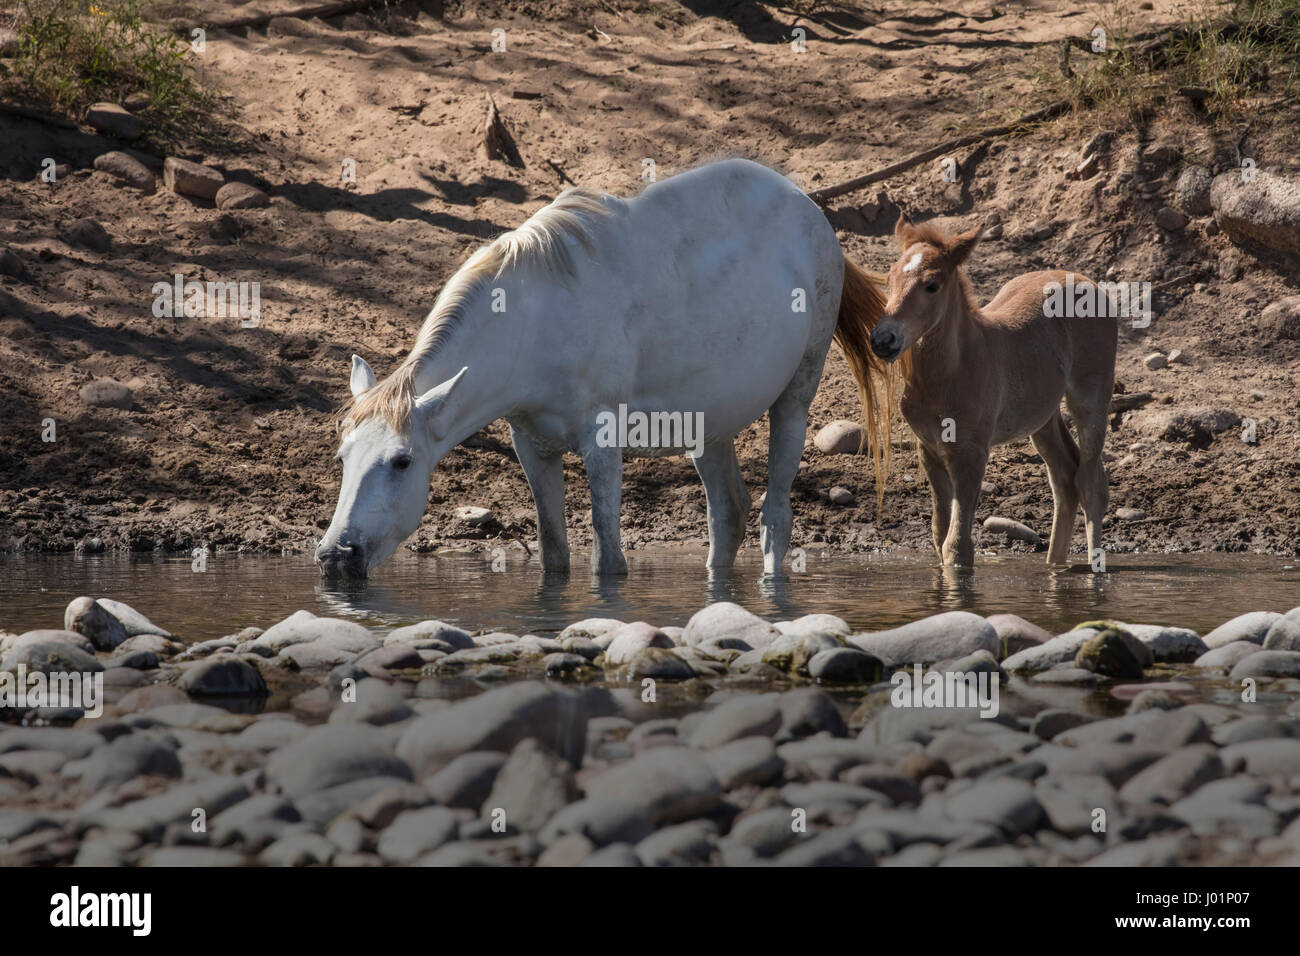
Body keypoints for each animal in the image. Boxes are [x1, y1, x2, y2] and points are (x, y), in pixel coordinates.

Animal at [319, 158, 899, 580]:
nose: (335, 557)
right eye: (342, 456)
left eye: (401, 462)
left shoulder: (602, 442)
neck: (533, 322)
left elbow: (609, 559)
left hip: (796, 398)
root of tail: (810, 210)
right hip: (709, 425)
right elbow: (554, 553)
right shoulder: (532, 444)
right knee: (728, 515)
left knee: (775, 516)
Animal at [868, 213, 1112, 564]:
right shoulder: (928, 448)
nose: (883, 340)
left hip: (1091, 395)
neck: (946, 376)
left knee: (1091, 482)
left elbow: (956, 545)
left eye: (932, 285)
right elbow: (939, 534)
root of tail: (1085, 280)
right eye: (889, 277)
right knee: (1065, 478)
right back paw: (1054, 565)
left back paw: (1094, 567)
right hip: (1042, 415)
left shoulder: (971, 452)